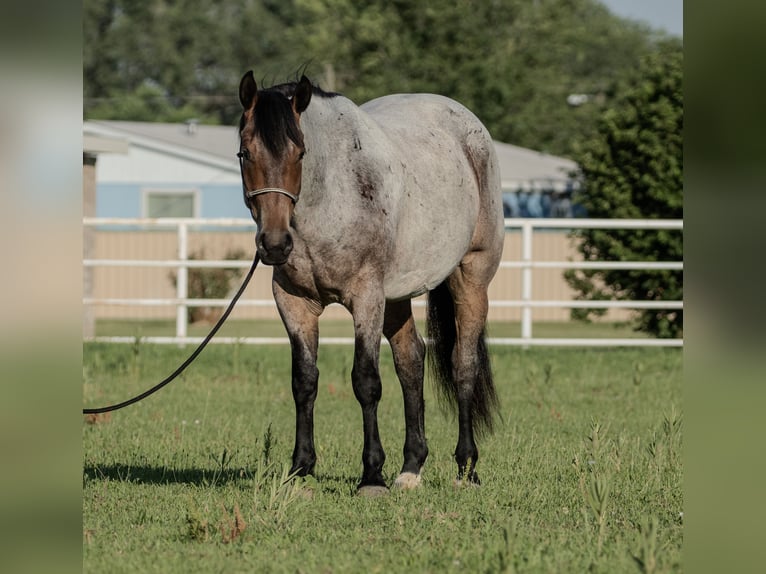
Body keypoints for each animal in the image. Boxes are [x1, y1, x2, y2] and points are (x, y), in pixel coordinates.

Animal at [237, 71, 508, 496]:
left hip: (470, 278)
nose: (275, 244)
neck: (330, 196)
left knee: (463, 365)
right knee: (411, 361)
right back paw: (411, 468)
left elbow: (366, 381)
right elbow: (304, 382)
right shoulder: (294, 304)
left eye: (300, 153)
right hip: (395, 296)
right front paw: (301, 469)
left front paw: (371, 475)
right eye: (245, 153)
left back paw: (466, 468)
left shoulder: (365, 298)